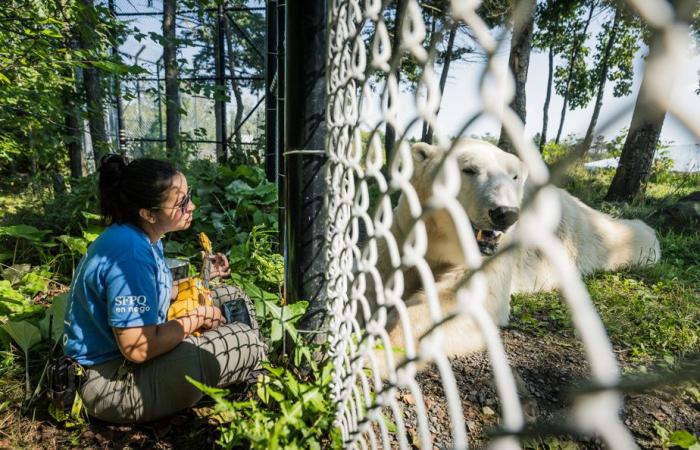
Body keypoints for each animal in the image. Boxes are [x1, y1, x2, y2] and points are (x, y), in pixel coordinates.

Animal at [366, 138, 660, 372]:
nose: (504, 213)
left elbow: (458, 299)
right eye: (468, 169)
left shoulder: (489, 257)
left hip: (573, 230)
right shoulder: (405, 230)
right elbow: (377, 272)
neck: (444, 239)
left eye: (514, 176)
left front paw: (377, 354)